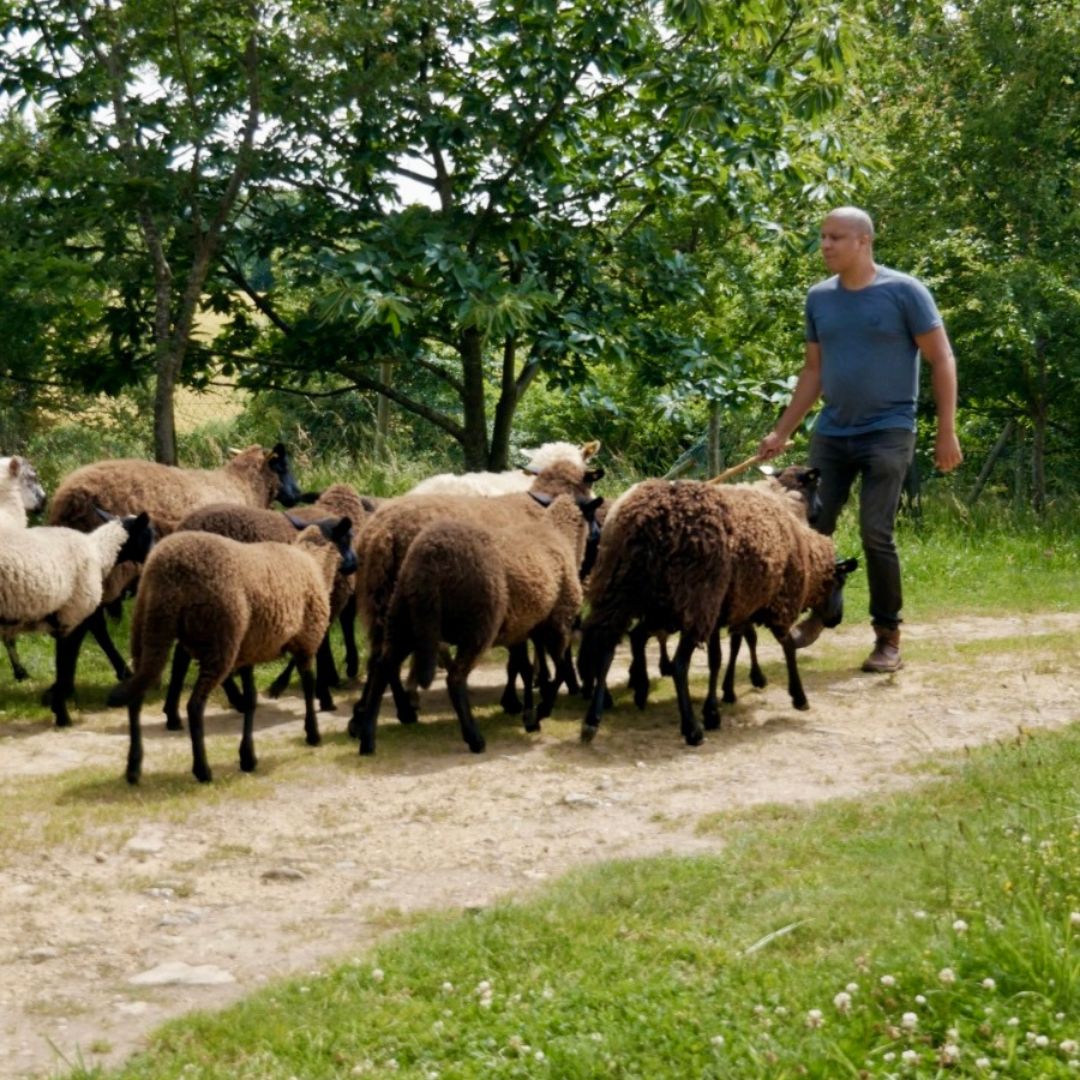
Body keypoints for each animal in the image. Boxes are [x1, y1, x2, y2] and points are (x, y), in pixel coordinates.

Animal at [0, 511, 156, 726]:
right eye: (149, 534)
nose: (157, 553)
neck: (100, 553)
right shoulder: (72, 618)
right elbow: (66, 665)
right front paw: (62, 713)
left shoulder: (65, 622)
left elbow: (65, 664)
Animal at [43, 444, 304, 705]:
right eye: (283, 466)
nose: (297, 495)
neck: (244, 486)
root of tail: (70, 502)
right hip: (110, 573)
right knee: (87, 624)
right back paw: (73, 685)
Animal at [108, 517, 358, 784]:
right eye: (348, 538)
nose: (356, 565)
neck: (314, 562)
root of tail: (166, 570)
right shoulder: (307, 640)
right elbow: (308, 686)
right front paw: (313, 733)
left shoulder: (249, 651)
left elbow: (251, 700)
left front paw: (248, 757)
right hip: (220, 639)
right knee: (194, 706)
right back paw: (202, 770)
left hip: (145, 632)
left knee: (135, 698)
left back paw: (133, 769)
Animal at [350, 458, 604, 733]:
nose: (598, 535)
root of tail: (383, 532)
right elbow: (523, 657)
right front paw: (524, 697)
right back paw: (402, 707)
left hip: (379, 597)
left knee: (379, 655)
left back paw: (366, 714)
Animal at [579, 479, 857, 746]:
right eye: (841, 581)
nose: (836, 619)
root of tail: (645, 518)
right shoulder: (777, 602)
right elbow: (787, 646)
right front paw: (798, 697)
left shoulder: (727, 607)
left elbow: (718, 657)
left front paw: (714, 707)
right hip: (694, 599)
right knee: (678, 664)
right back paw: (691, 729)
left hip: (622, 590)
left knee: (607, 646)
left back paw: (597, 718)